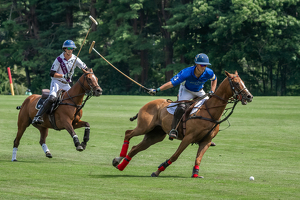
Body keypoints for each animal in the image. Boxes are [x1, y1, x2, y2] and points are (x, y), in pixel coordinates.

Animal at [112, 71, 253, 177]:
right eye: (236, 83)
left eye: (243, 82)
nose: (249, 96)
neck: (210, 112)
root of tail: (148, 103)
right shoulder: (188, 138)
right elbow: (175, 156)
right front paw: (158, 170)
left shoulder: (206, 141)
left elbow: (198, 158)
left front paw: (195, 174)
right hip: (144, 127)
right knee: (128, 133)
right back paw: (118, 159)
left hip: (155, 135)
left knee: (135, 148)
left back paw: (120, 165)